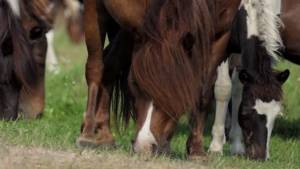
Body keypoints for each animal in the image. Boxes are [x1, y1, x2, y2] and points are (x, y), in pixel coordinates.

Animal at [77, 0, 241, 160]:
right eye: (134, 84)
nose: (144, 146)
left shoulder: (221, 34)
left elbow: (204, 92)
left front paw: (196, 150)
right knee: (97, 66)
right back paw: (89, 134)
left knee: (110, 63)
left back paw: (104, 133)